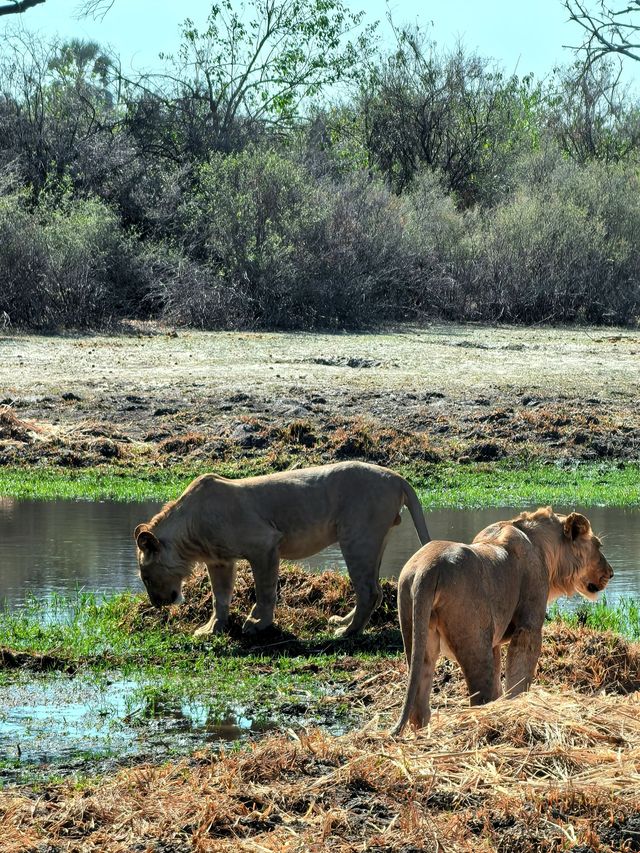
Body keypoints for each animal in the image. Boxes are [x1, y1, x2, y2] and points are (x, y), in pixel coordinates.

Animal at [134, 462, 430, 636]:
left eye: (146, 577)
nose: (157, 603)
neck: (189, 532)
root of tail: (397, 476)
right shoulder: (220, 561)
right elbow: (220, 596)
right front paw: (211, 629)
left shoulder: (265, 544)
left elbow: (265, 590)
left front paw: (257, 624)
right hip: (374, 539)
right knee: (374, 590)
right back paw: (341, 622)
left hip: (357, 537)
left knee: (369, 591)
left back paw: (346, 633)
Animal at [390, 506, 616, 732]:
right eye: (598, 545)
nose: (611, 573)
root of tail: (427, 570)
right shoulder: (528, 626)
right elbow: (520, 672)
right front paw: (518, 704)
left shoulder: (494, 641)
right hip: (474, 644)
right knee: (480, 697)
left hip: (417, 637)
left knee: (419, 704)